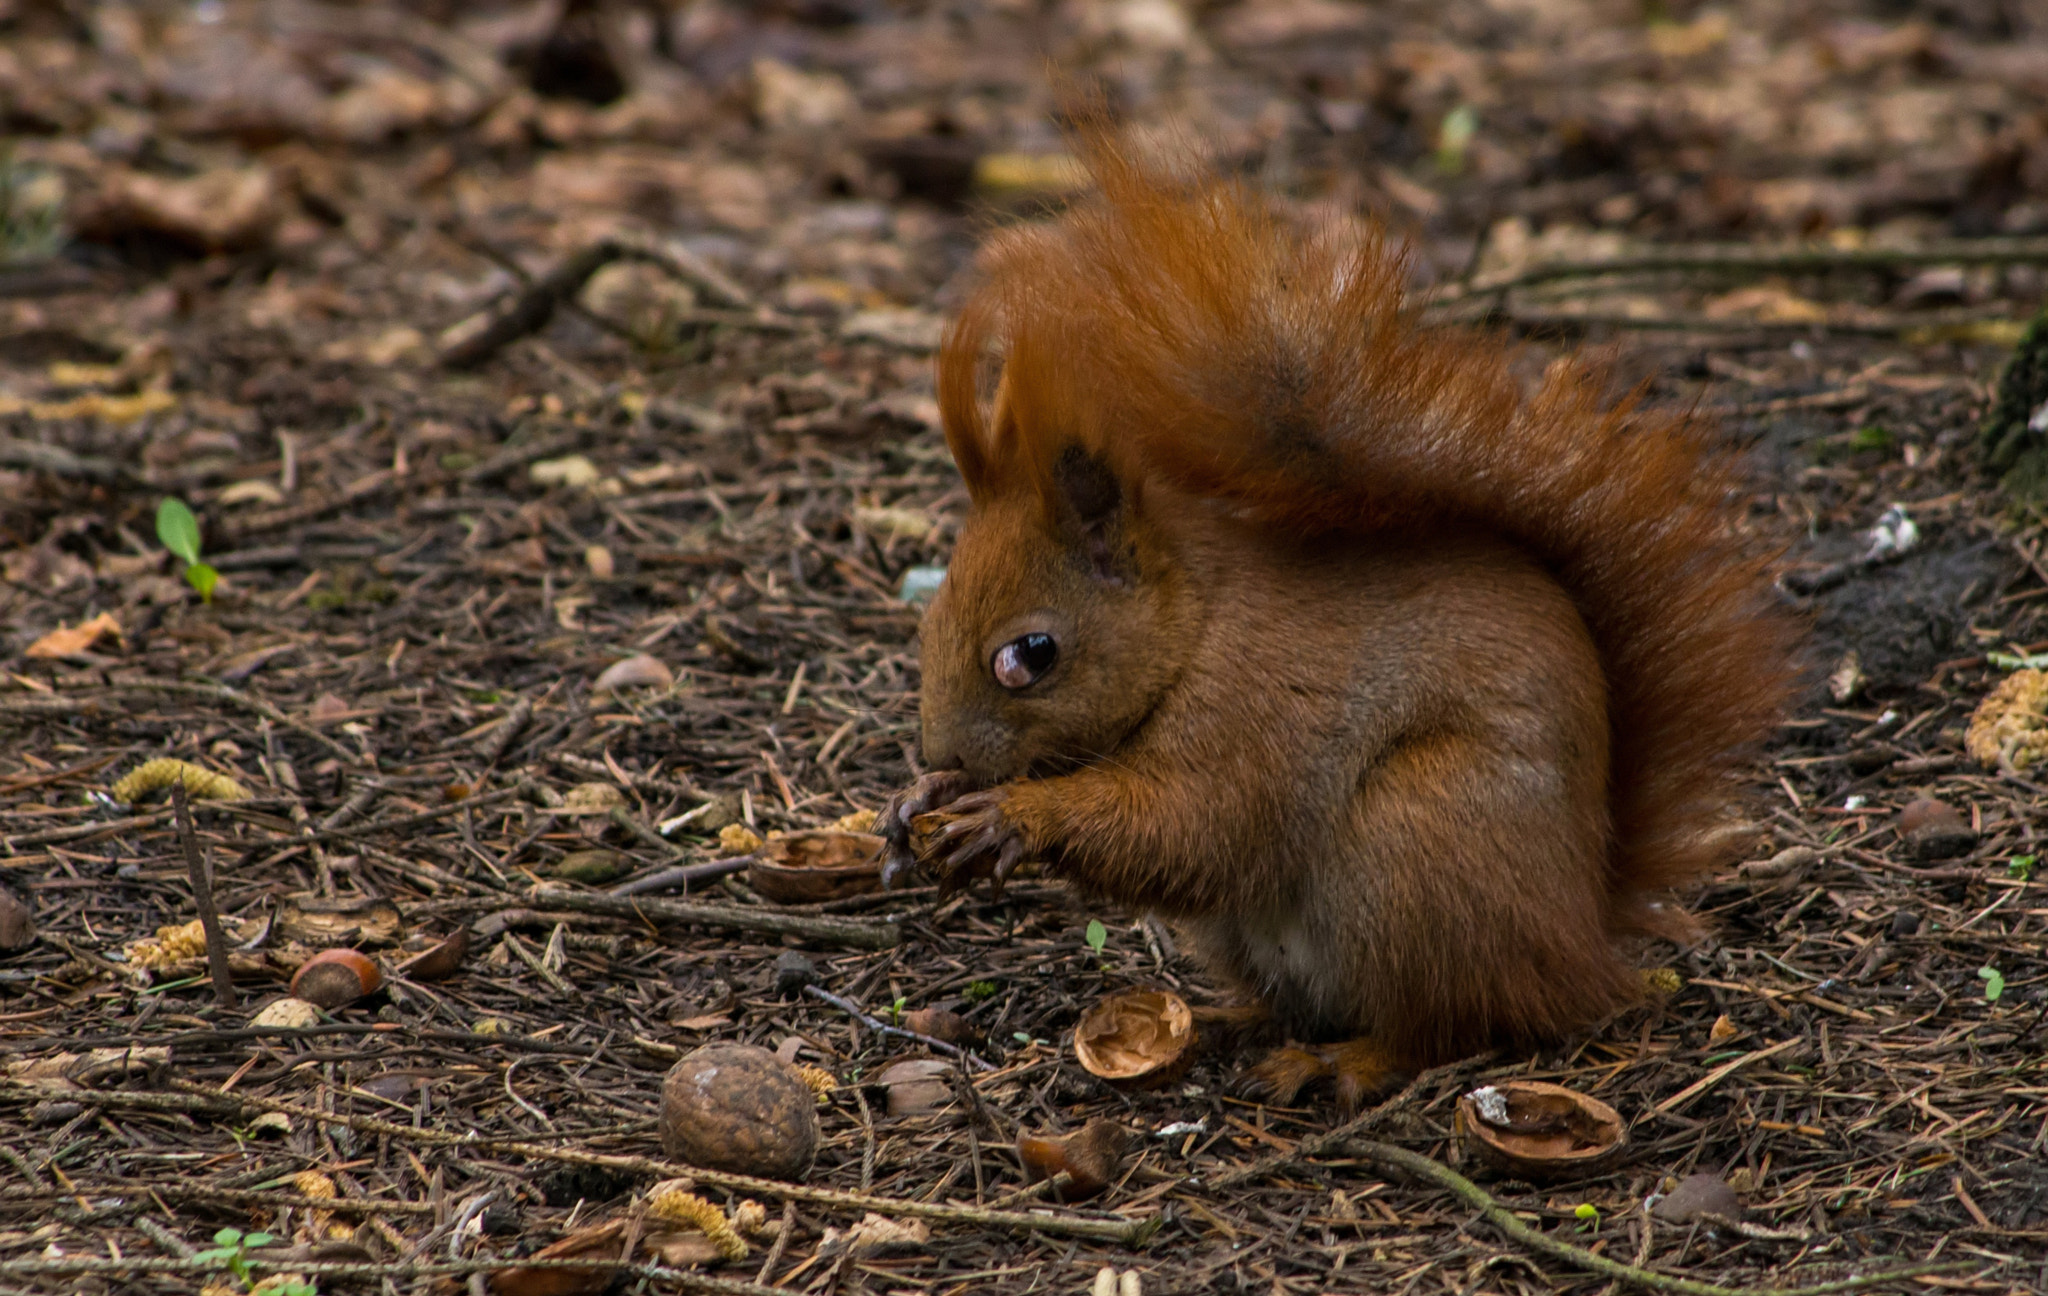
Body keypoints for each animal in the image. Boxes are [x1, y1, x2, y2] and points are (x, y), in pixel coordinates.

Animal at [876, 131, 1794, 1105]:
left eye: (1032, 654)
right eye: (929, 623)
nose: (940, 751)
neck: (1198, 630)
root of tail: (1582, 933)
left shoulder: (1250, 717)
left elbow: (1191, 826)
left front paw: (1013, 815)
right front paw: (919, 803)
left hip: (1415, 841)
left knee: (1448, 1026)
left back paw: (1342, 1061)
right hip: (1264, 929)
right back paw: (1229, 1020)